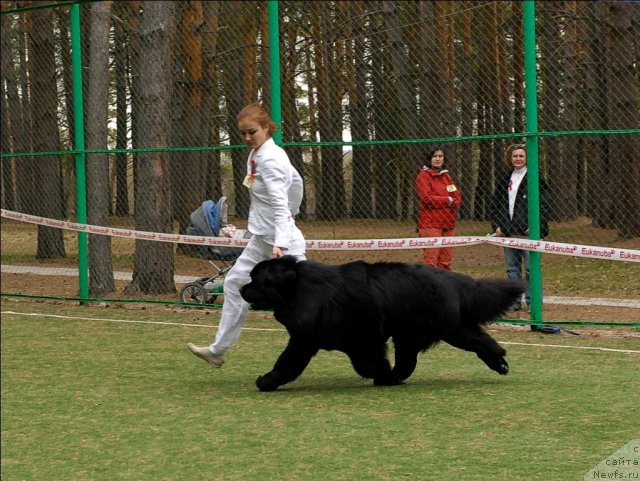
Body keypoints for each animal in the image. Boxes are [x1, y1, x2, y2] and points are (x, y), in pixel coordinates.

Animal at [240, 255, 524, 390]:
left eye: (257, 281)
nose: (242, 288)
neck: (299, 291)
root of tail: (452, 278)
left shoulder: (359, 337)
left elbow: (367, 362)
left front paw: (266, 381)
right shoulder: (306, 339)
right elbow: (288, 363)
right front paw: (268, 381)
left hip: (421, 330)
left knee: (411, 360)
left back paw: (392, 378)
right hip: (443, 329)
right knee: (479, 340)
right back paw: (500, 363)